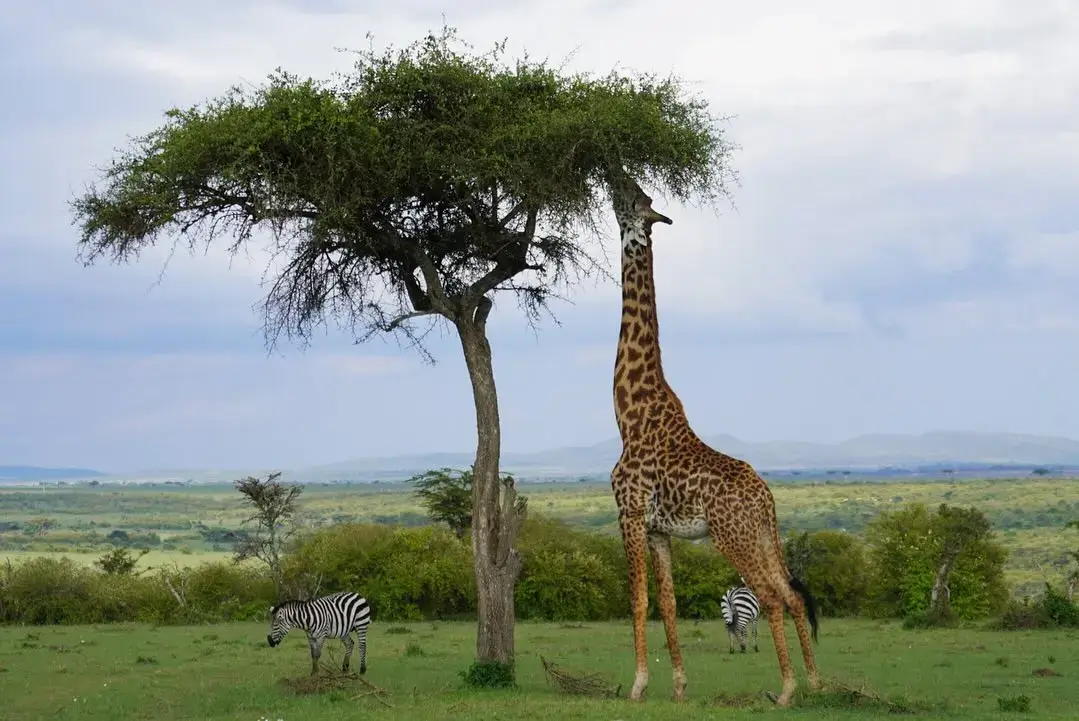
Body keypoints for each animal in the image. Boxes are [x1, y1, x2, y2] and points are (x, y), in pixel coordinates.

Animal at [608, 172, 815, 703]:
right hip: (759, 535)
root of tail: (766, 498)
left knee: (772, 598)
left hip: (730, 535)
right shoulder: (659, 530)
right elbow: (669, 603)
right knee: (792, 596)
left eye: (634, 198)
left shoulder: (629, 513)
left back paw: (787, 690)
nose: (613, 175)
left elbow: (637, 600)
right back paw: (817, 681)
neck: (628, 414)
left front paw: (637, 685)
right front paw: (680, 686)